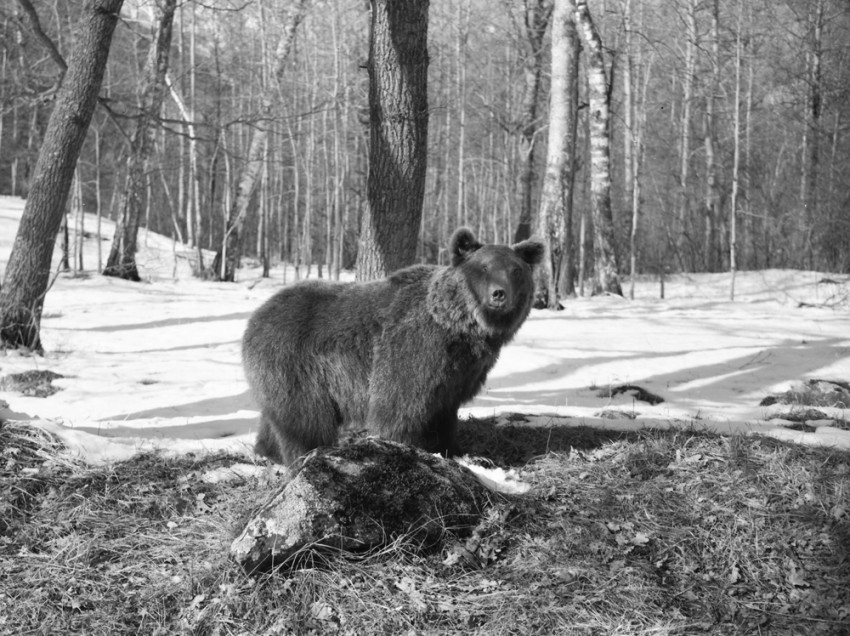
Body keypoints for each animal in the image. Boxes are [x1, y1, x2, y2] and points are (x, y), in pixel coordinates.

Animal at [242, 227, 544, 466]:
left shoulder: (460, 372)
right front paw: (402, 446)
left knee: (275, 418)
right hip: (296, 367)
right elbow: (399, 404)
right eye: (483, 267)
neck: (460, 329)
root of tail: (257, 314)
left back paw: (267, 451)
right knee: (305, 422)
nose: (499, 294)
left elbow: (445, 413)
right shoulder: (416, 348)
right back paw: (306, 455)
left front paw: (454, 450)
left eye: (516, 270)